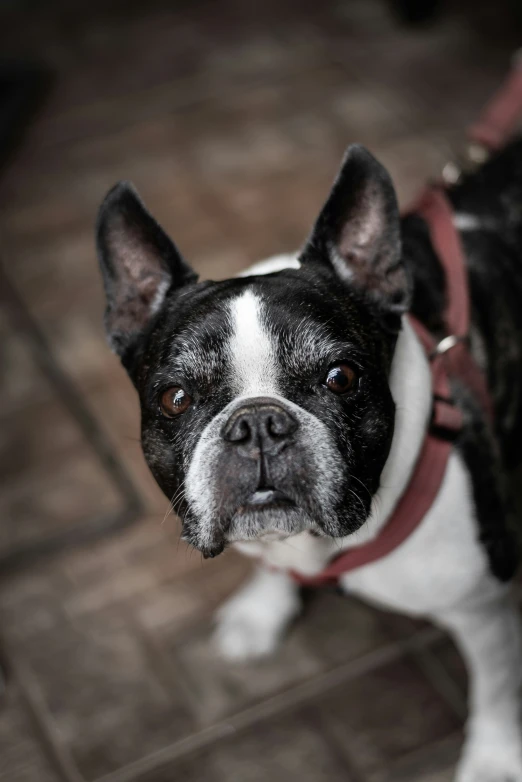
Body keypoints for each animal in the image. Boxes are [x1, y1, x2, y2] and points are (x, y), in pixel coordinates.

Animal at [94, 142, 520, 782]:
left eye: (340, 378)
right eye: (176, 399)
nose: (257, 425)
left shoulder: (483, 611)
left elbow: (495, 689)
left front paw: (494, 759)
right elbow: (270, 565)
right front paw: (262, 609)